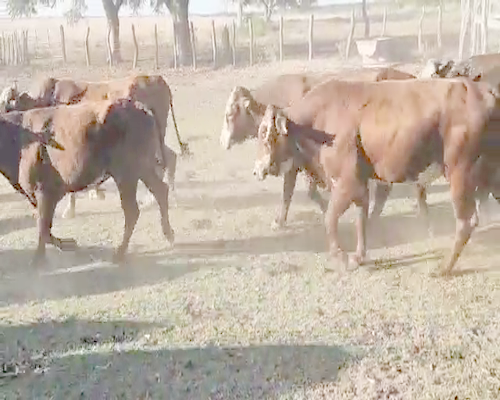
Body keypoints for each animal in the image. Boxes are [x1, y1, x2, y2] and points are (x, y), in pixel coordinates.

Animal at [0, 98, 176, 264]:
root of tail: (140, 107)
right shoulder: (37, 197)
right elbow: (45, 227)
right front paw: (68, 244)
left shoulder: (44, 192)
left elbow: (43, 226)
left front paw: (38, 260)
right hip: (142, 169)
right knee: (161, 191)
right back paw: (169, 234)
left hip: (126, 174)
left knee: (132, 210)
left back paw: (120, 252)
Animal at [254, 77, 500, 276]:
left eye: (265, 133)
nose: (256, 170)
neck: (318, 121)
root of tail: (483, 90)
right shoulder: (361, 184)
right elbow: (361, 219)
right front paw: (358, 257)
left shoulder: (348, 183)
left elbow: (330, 218)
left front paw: (342, 257)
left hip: (460, 172)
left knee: (466, 221)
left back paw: (443, 268)